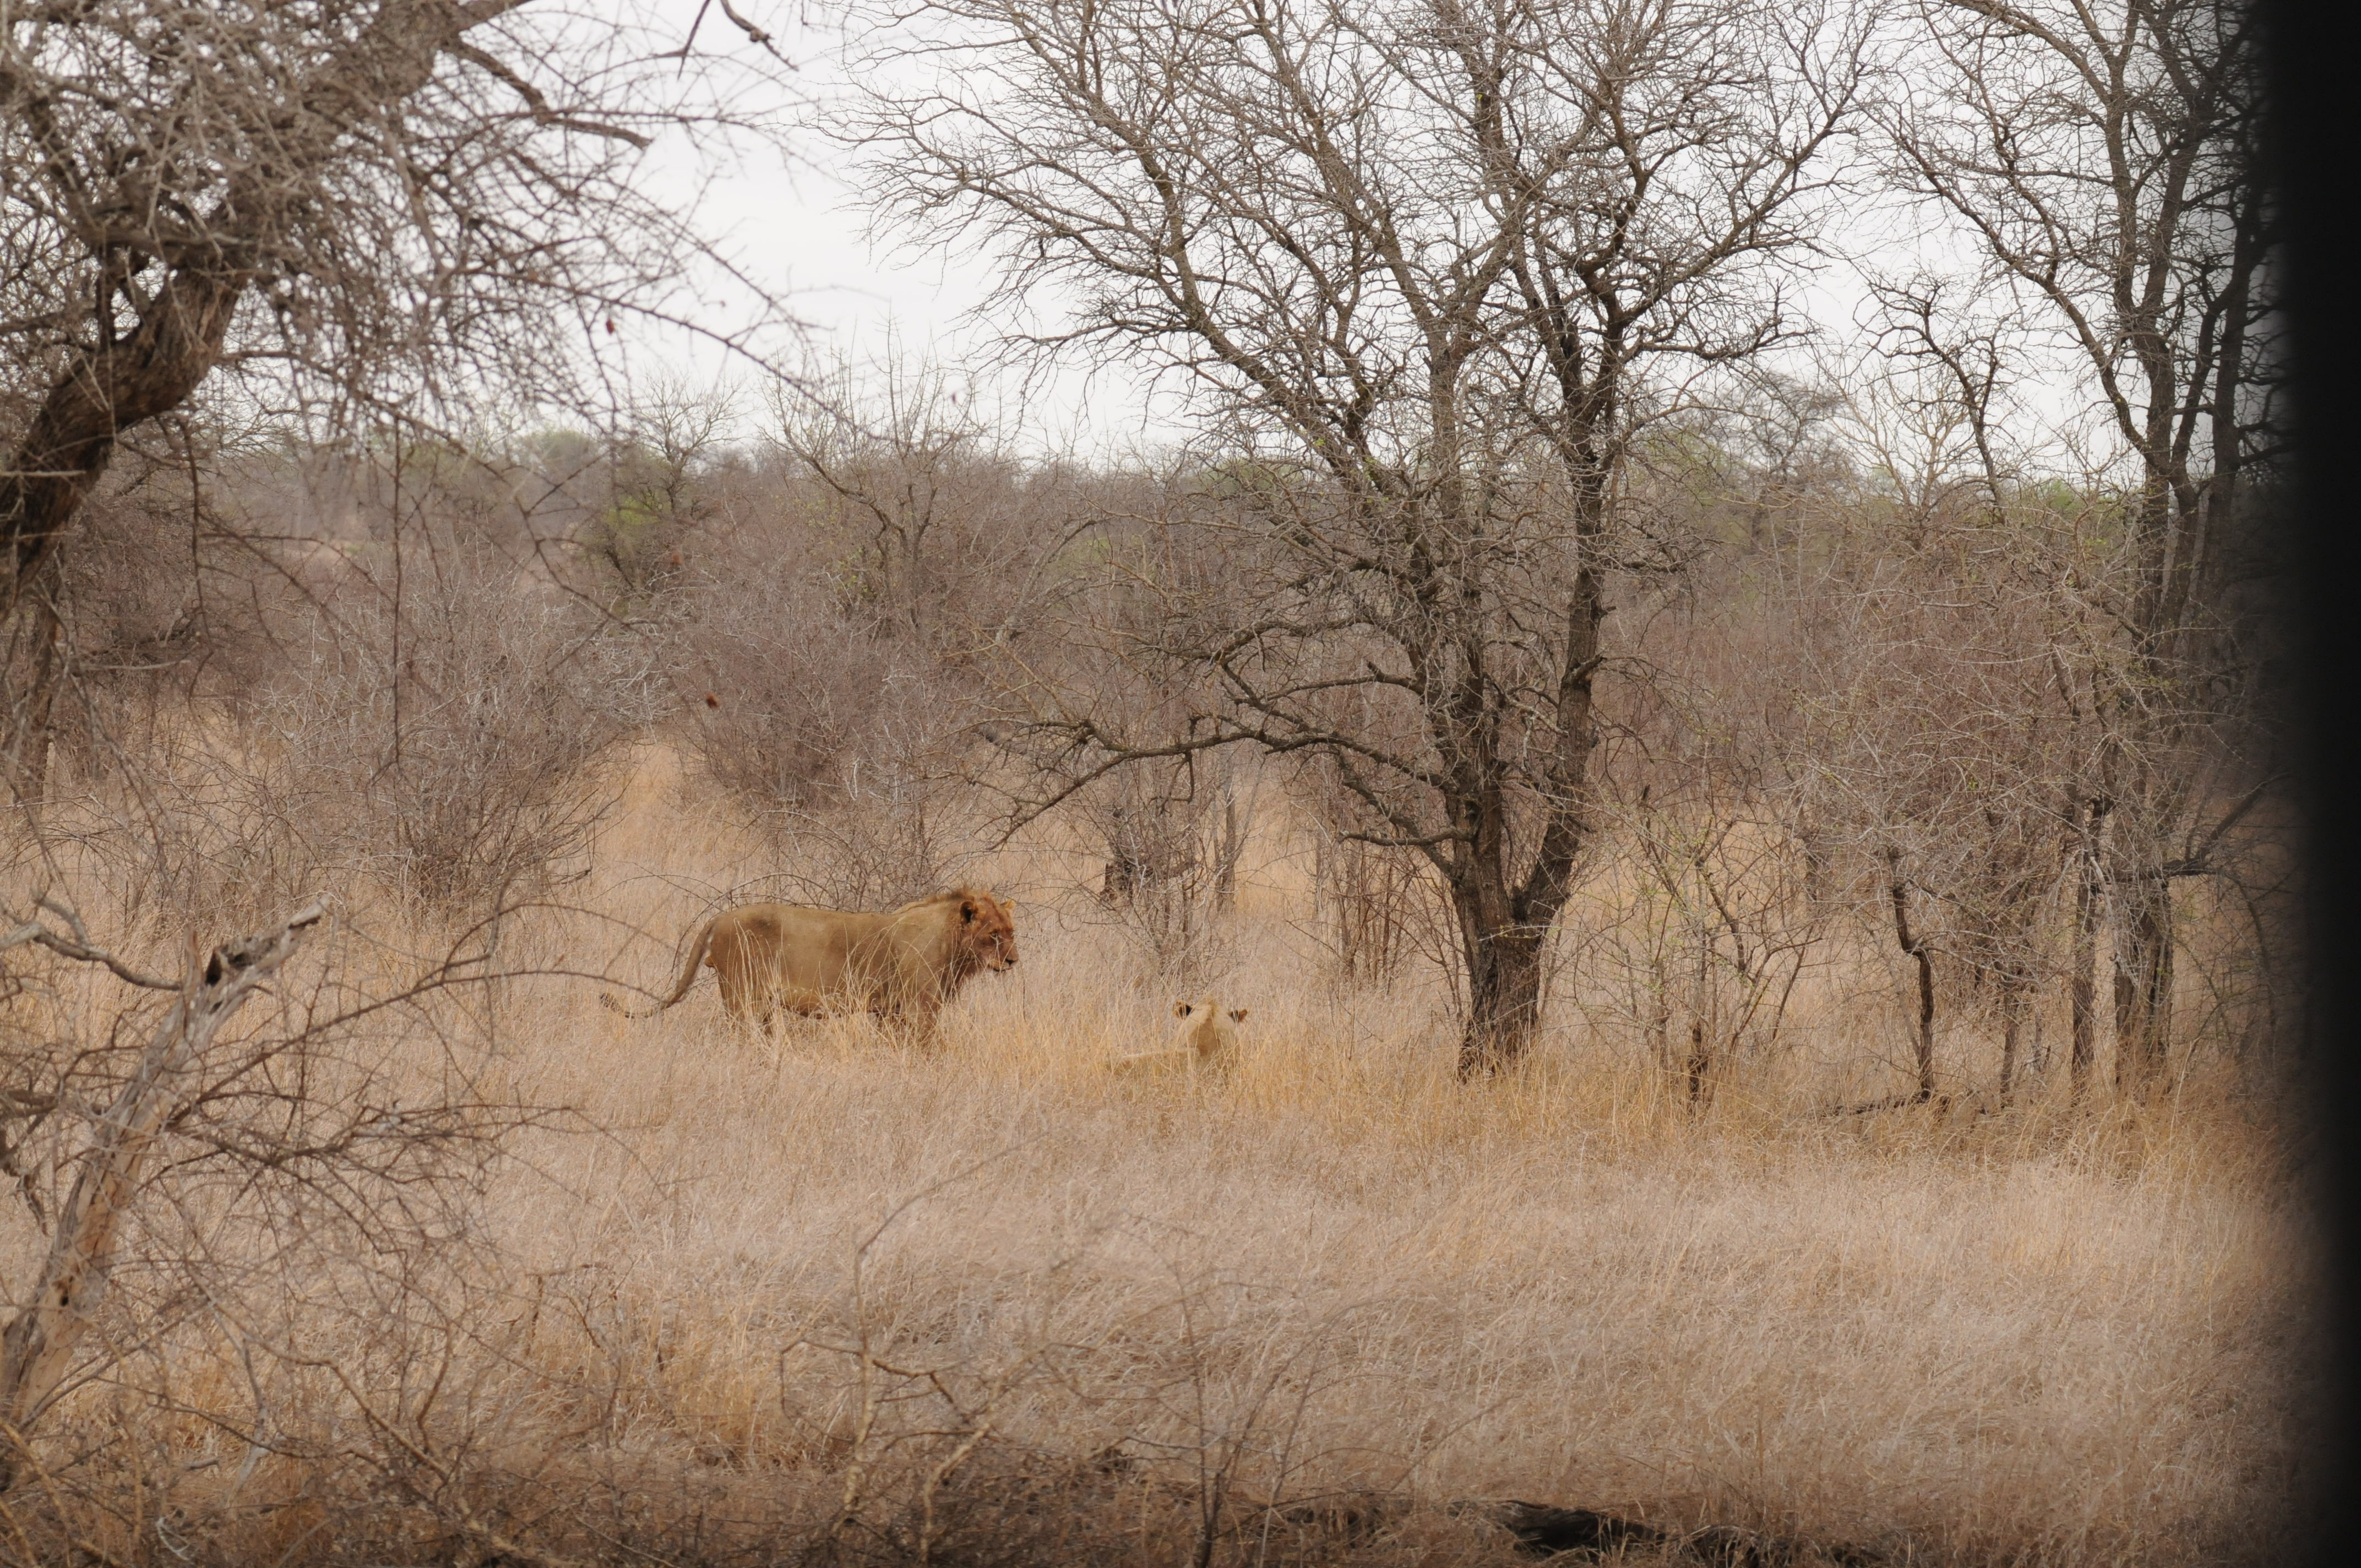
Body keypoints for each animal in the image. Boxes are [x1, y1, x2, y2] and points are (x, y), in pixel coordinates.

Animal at [603, 887, 1018, 1036]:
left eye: (1012, 932)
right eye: (994, 935)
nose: (1013, 961)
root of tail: (720, 918)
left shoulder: (891, 1011)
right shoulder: (919, 1009)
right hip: (742, 995)